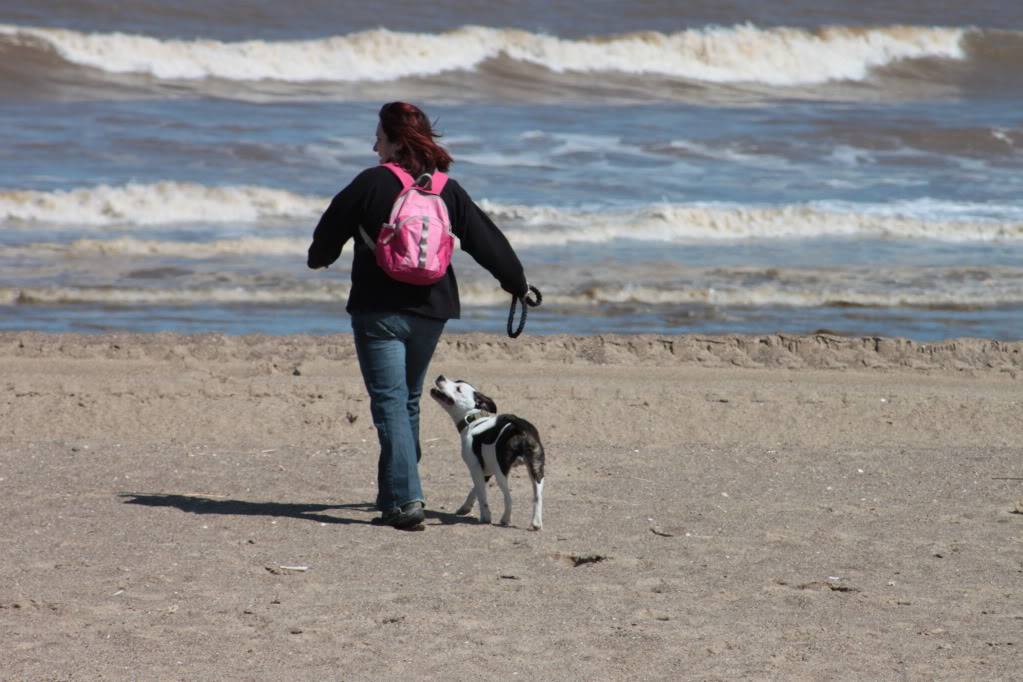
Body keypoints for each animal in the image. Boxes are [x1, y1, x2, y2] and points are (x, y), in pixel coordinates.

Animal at [429, 376, 548, 531]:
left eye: (458, 389)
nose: (440, 377)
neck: (472, 421)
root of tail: (520, 427)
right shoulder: (485, 472)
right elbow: (475, 490)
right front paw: (465, 508)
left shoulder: (475, 468)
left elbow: (482, 495)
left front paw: (485, 516)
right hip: (536, 469)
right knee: (537, 497)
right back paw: (536, 523)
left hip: (501, 473)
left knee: (509, 498)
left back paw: (505, 519)